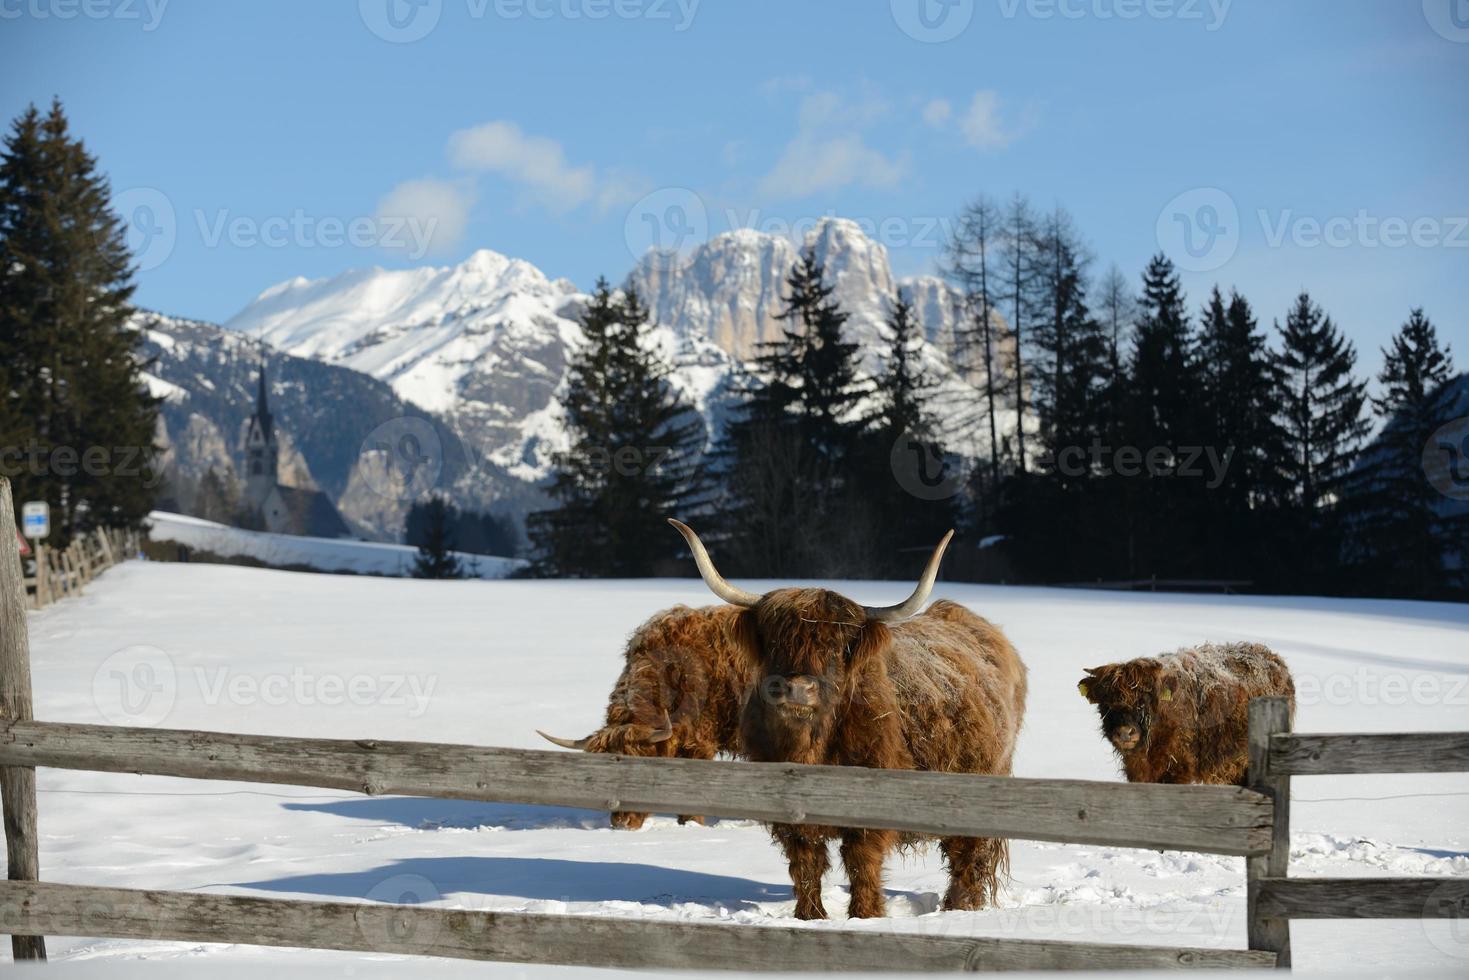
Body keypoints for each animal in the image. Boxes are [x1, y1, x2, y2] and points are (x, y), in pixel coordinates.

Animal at [672, 520, 1028, 922]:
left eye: (834, 646)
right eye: (775, 641)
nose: (796, 688)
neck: (810, 748)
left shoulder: (871, 813)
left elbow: (862, 865)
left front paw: (866, 916)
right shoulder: (790, 817)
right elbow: (805, 865)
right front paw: (810, 917)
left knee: (968, 859)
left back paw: (958, 910)